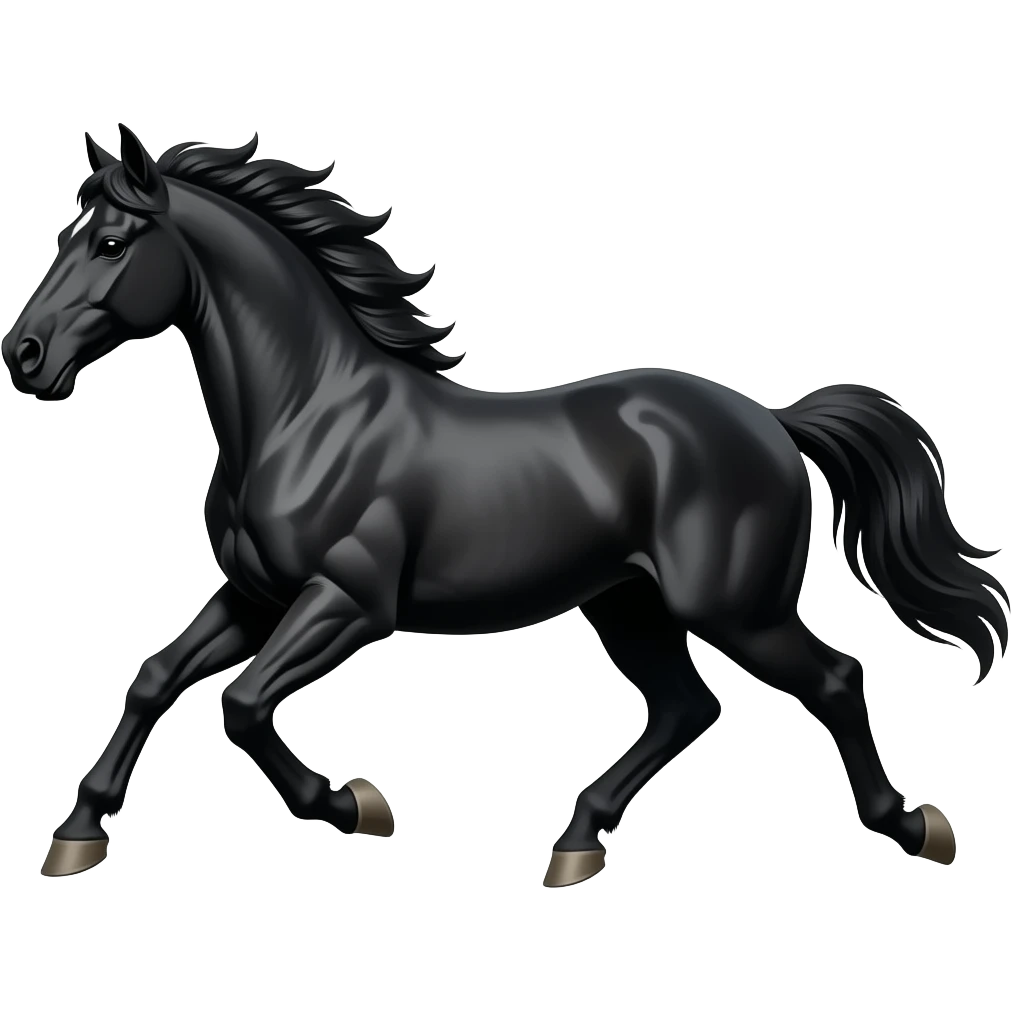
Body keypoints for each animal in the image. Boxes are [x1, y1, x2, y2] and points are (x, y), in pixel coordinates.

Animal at [5, 125, 1006, 886]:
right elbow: (155, 679)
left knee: (832, 678)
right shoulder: (256, 597)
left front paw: (356, 806)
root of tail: (770, 418)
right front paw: (76, 837)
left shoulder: (348, 603)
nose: (25, 355)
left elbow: (242, 705)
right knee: (687, 708)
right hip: (630, 606)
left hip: (734, 608)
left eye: (111, 243)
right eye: (70, 231)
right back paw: (576, 846)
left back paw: (918, 827)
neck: (307, 413)